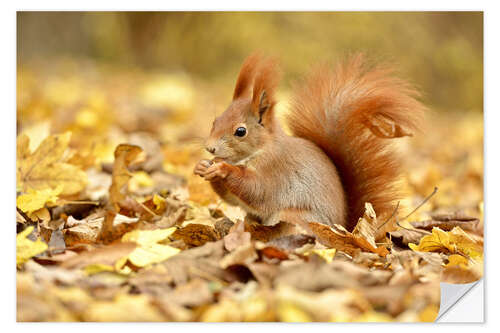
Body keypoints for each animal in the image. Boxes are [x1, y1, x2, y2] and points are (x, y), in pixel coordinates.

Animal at [193, 53, 424, 237]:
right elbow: (232, 198)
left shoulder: (275, 170)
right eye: (215, 121)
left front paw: (222, 168)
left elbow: (256, 190)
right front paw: (202, 166)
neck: (262, 149)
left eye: (241, 132)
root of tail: (344, 230)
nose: (210, 148)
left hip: (295, 217)